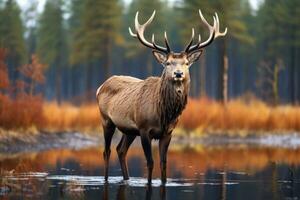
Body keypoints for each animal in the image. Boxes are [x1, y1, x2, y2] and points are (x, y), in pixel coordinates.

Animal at [96, 9, 227, 184]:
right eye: (168, 63)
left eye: (186, 63)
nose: (178, 74)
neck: (164, 113)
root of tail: (100, 87)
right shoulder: (144, 129)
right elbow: (150, 162)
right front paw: (149, 183)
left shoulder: (168, 132)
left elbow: (163, 163)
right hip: (106, 120)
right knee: (107, 151)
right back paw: (105, 179)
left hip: (129, 130)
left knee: (121, 150)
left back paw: (127, 178)